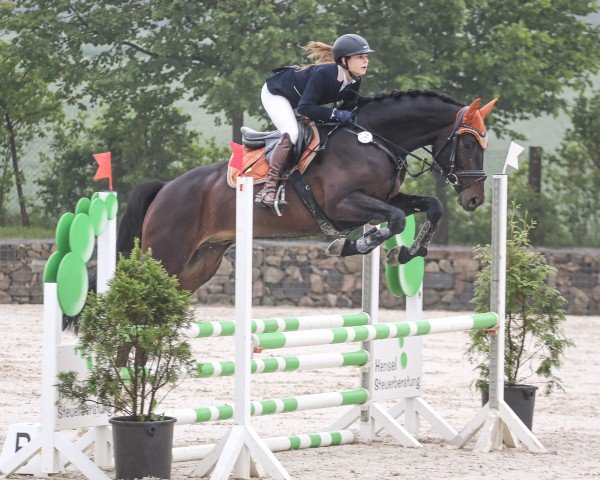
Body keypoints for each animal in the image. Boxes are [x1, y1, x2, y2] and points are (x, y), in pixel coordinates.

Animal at [116, 90, 496, 292]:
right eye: (467, 145)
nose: (474, 199)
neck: (374, 140)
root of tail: (165, 190)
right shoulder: (343, 205)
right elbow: (397, 219)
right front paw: (351, 245)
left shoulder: (383, 198)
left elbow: (429, 207)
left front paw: (407, 253)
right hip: (166, 255)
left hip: (199, 264)